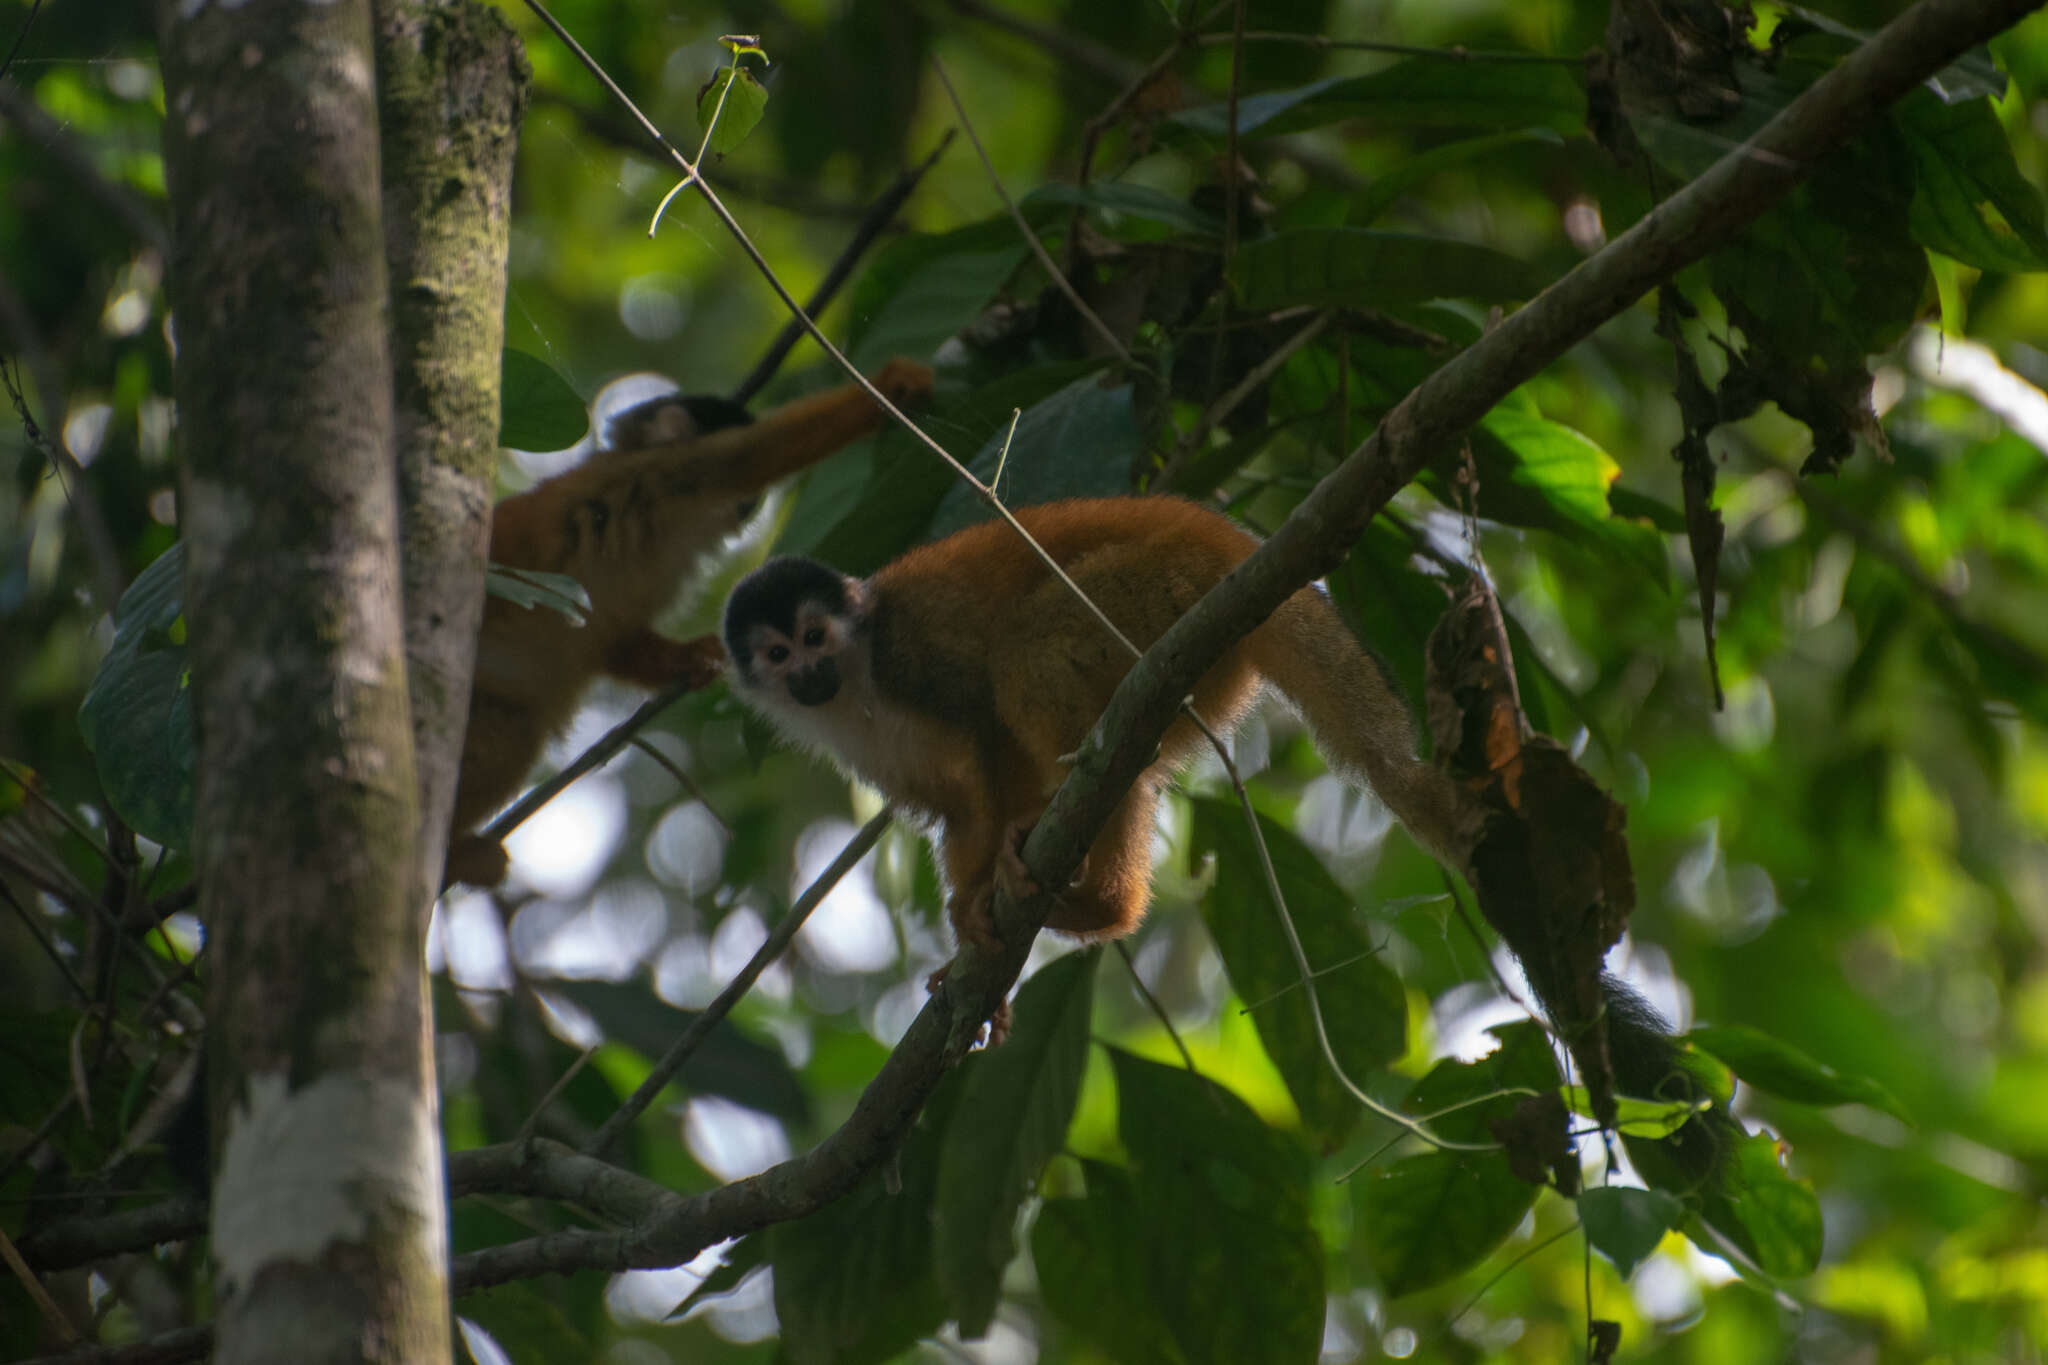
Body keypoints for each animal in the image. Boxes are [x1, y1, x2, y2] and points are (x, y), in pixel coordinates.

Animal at [720, 499, 1474, 949]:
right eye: (779, 654)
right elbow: (959, 810)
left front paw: (1005, 848)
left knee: (1026, 651)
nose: (807, 672)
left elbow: (986, 723)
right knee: (1130, 758)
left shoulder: (910, 649)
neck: (858, 675)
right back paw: (1108, 904)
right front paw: (970, 916)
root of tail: (1231, 543)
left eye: (814, 636)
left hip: (1160, 588)